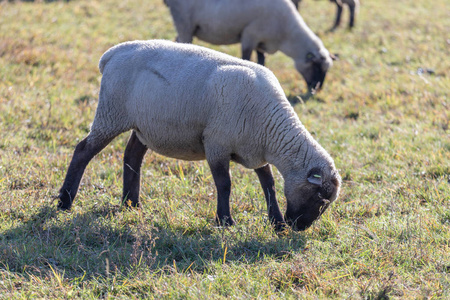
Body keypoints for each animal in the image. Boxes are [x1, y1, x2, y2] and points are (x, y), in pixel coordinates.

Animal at [57, 39, 342, 231]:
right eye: (319, 198)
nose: (299, 228)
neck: (271, 131)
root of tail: (112, 53)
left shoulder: (254, 151)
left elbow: (269, 184)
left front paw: (277, 222)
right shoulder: (216, 145)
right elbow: (225, 184)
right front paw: (225, 221)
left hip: (144, 123)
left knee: (132, 155)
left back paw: (131, 204)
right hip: (111, 114)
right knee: (83, 151)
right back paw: (65, 201)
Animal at [163, 0, 332, 93]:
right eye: (317, 67)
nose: (317, 89)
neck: (287, 34)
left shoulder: (261, 43)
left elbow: (262, 60)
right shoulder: (250, 35)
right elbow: (247, 58)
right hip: (184, 22)